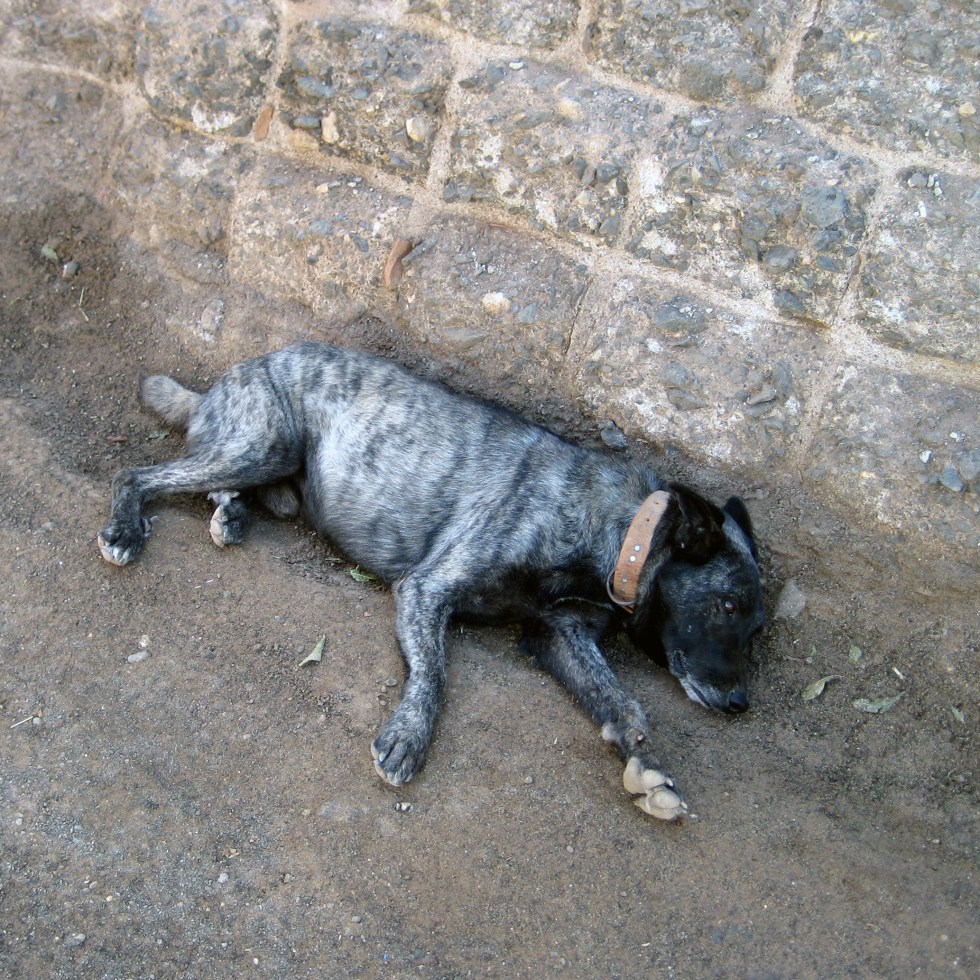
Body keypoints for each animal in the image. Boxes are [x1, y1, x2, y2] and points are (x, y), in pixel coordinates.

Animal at [98, 342, 764, 820]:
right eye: (729, 605)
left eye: (756, 627)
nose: (740, 704)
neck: (621, 532)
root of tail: (225, 378)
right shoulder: (428, 589)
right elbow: (434, 672)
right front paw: (409, 734)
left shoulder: (560, 634)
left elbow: (620, 700)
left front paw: (645, 762)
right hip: (265, 443)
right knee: (142, 473)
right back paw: (128, 526)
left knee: (219, 485)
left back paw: (231, 515)